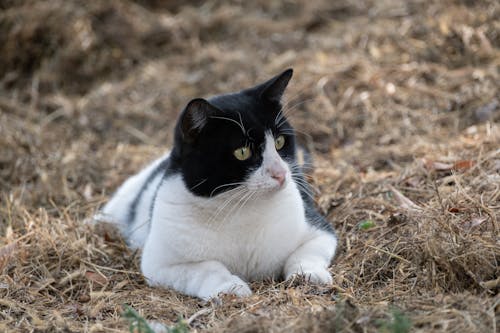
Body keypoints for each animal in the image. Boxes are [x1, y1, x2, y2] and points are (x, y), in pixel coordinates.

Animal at [94, 68, 336, 300]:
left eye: (279, 142)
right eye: (242, 152)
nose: (280, 173)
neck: (241, 210)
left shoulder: (320, 231)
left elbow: (305, 253)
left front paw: (309, 275)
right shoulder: (159, 264)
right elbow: (207, 268)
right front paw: (230, 287)